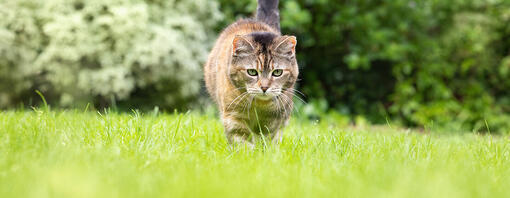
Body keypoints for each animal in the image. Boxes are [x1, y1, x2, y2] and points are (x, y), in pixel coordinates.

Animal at [204, 0, 298, 145]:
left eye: (277, 72)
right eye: (252, 72)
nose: (264, 87)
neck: (259, 105)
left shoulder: (274, 120)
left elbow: (268, 139)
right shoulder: (233, 117)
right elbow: (242, 141)